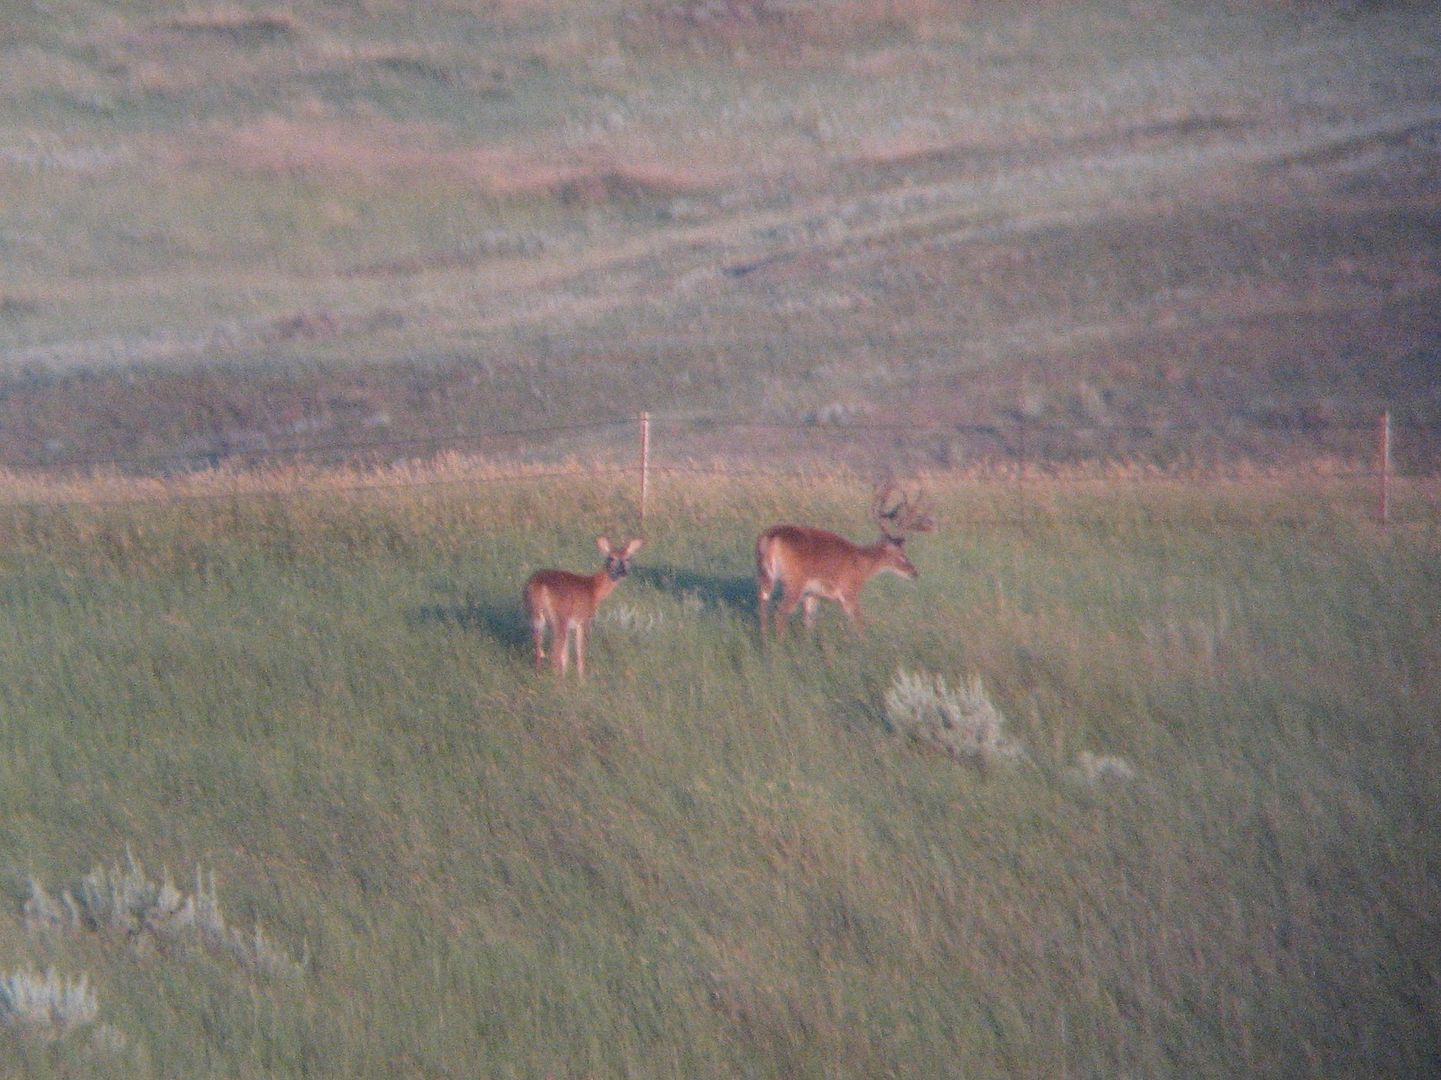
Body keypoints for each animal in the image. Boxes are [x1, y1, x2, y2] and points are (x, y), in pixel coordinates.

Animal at [524, 536, 642, 677]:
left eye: (627, 558)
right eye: (611, 558)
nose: (624, 572)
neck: (594, 589)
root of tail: (540, 585)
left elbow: (566, 655)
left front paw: (568, 675)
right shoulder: (584, 620)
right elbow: (580, 652)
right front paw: (581, 679)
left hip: (534, 615)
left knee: (538, 648)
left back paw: (540, 674)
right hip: (560, 617)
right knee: (554, 652)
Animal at [755, 481, 933, 640]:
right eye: (902, 554)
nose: (914, 572)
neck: (862, 563)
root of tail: (770, 537)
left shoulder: (812, 594)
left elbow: (809, 624)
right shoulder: (849, 591)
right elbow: (859, 624)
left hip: (764, 575)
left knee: (763, 606)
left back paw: (765, 644)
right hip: (794, 581)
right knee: (780, 612)